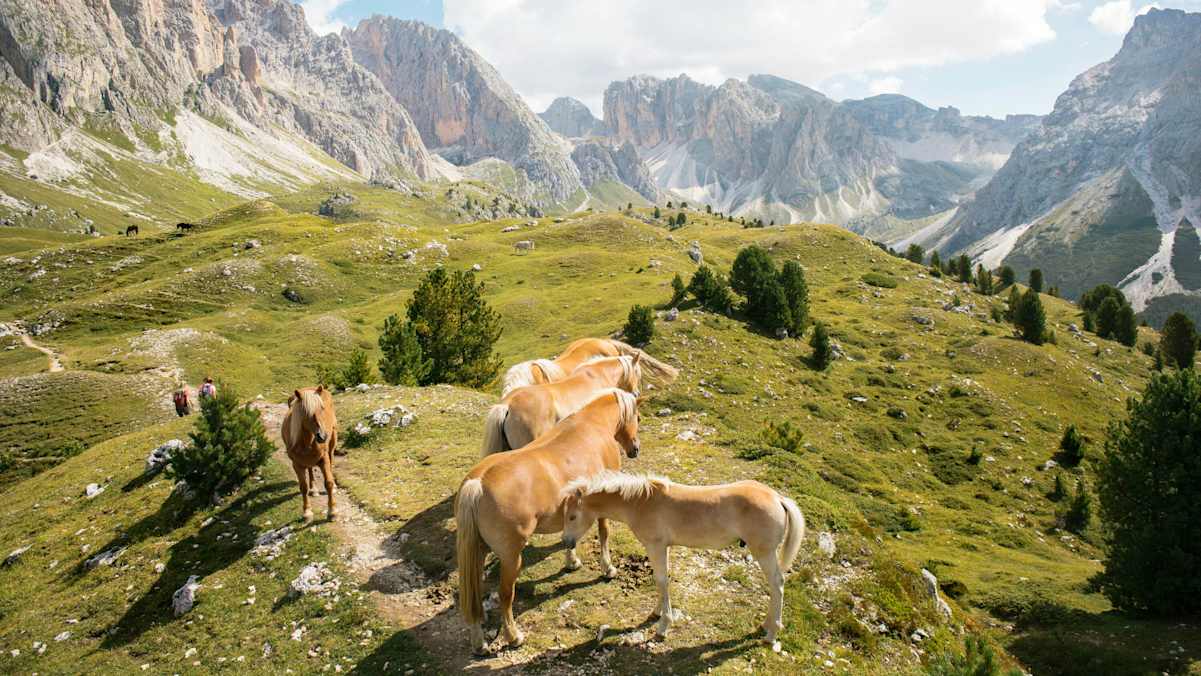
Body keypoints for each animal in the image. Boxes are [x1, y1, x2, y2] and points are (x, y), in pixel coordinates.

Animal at [280, 386, 339, 521]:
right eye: (305, 412)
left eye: (322, 408)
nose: (322, 436)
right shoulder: (296, 464)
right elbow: (303, 487)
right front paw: (307, 512)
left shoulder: (323, 459)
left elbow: (328, 483)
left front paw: (332, 512)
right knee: (310, 469)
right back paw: (314, 489)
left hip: (332, 442)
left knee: (331, 458)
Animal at [456, 389, 643, 653]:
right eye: (638, 417)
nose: (635, 448)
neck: (592, 424)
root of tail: (478, 483)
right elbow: (604, 533)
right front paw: (607, 568)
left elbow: (569, 536)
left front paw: (571, 561)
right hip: (511, 558)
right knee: (505, 595)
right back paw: (513, 636)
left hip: (478, 552)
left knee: (474, 593)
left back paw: (479, 642)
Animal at [561, 472, 805, 646]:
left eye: (572, 516)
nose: (566, 542)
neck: (641, 502)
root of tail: (778, 498)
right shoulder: (663, 548)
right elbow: (662, 580)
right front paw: (657, 612)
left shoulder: (655, 546)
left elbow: (661, 580)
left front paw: (662, 627)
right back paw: (765, 625)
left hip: (764, 552)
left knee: (777, 584)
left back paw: (771, 633)